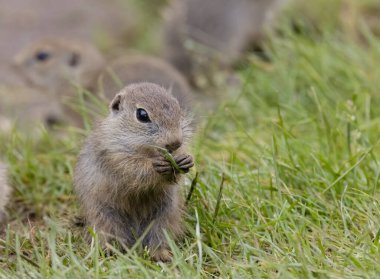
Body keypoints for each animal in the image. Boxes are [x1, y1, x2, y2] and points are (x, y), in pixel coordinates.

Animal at [73, 82, 194, 262]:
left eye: (177, 106)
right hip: (105, 217)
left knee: (157, 238)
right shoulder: (113, 153)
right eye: (142, 115)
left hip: (165, 215)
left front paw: (185, 160)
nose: (175, 142)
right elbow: (132, 168)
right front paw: (155, 165)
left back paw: (162, 255)